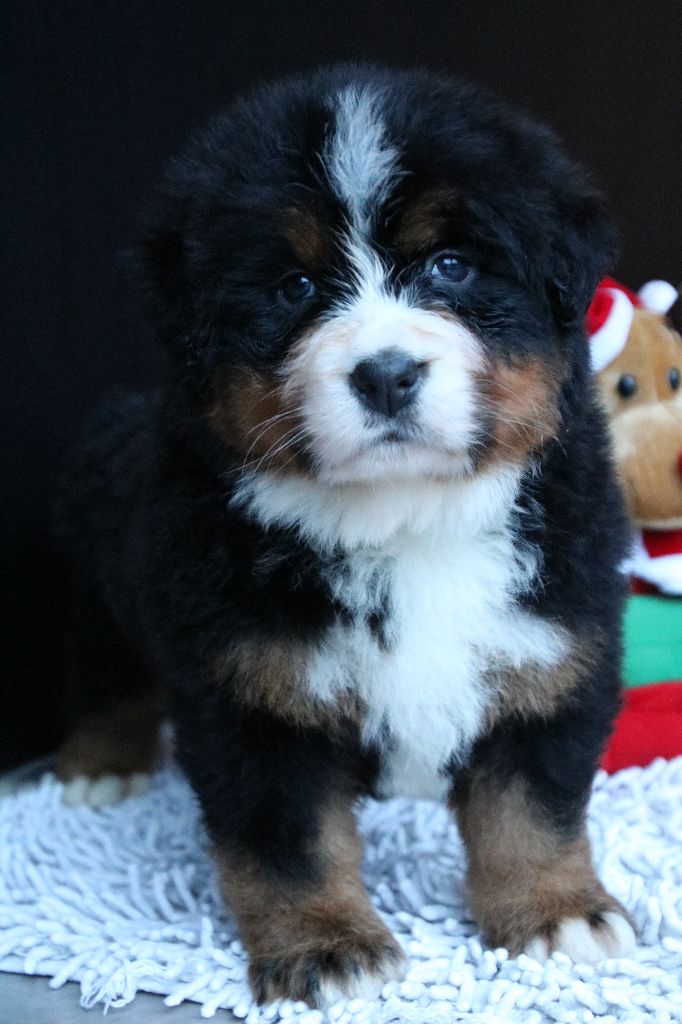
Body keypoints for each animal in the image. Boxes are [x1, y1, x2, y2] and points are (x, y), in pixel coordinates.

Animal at [55, 66, 634, 1007]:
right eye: (294, 286)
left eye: (450, 265)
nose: (387, 374)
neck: (404, 521)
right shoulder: (249, 691)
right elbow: (290, 843)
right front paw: (326, 946)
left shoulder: (554, 650)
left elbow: (534, 810)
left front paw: (556, 914)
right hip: (93, 595)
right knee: (107, 676)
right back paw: (101, 760)